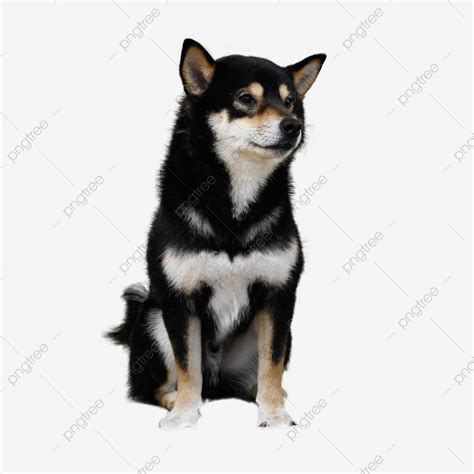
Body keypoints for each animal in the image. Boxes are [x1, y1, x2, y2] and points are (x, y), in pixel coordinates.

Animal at [105, 39, 324, 428]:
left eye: (291, 101)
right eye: (245, 99)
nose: (293, 126)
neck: (233, 208)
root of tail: (219, 384)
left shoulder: (278, 298)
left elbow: (271, 365)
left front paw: (274, 416)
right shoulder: (179, 302)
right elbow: (188, 365)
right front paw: (184, 416)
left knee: (259, 375)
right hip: (153, 320)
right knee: (153, 387)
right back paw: (175, 401)